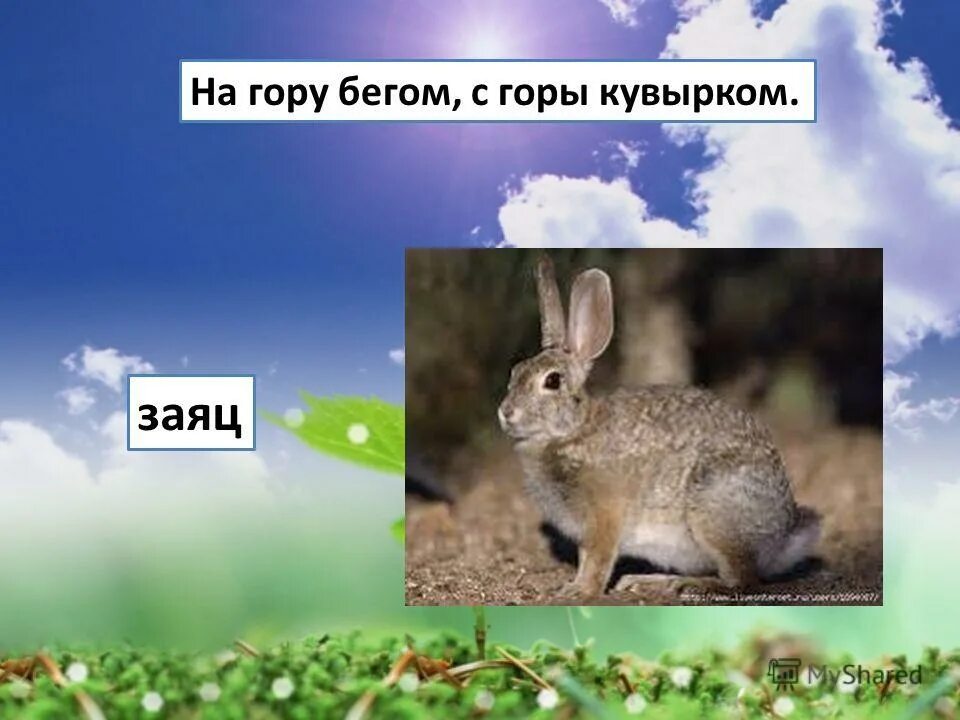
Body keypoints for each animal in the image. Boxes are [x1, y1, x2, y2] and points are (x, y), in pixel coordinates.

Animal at [497, 255, 821, 601]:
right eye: (515, 371)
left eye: (553, 381)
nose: (506, 413)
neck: (572, 431)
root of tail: (782, 536)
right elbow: (586, 557)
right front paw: (573, 586)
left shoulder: (605, 516)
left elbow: (598, 560)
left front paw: (579, 591)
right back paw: (649, 581)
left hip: (713, 511)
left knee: (742, 580)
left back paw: (691, 586)